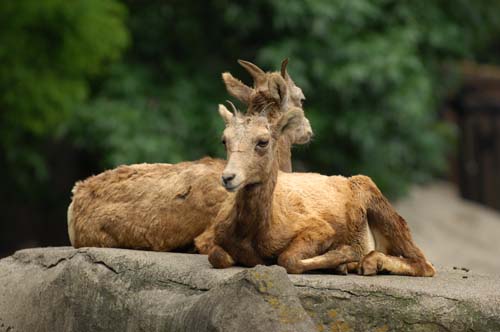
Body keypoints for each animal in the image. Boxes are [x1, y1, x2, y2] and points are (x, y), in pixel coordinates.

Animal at [207, 105, 434, 276]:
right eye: (224, 140)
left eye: (263, 141)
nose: (228, 177)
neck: (250, 234)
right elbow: (216, 256)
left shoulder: (320, 229)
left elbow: (287, 259)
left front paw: (345, 258)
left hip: (376, 199)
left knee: (425, 263)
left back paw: (368, 263)